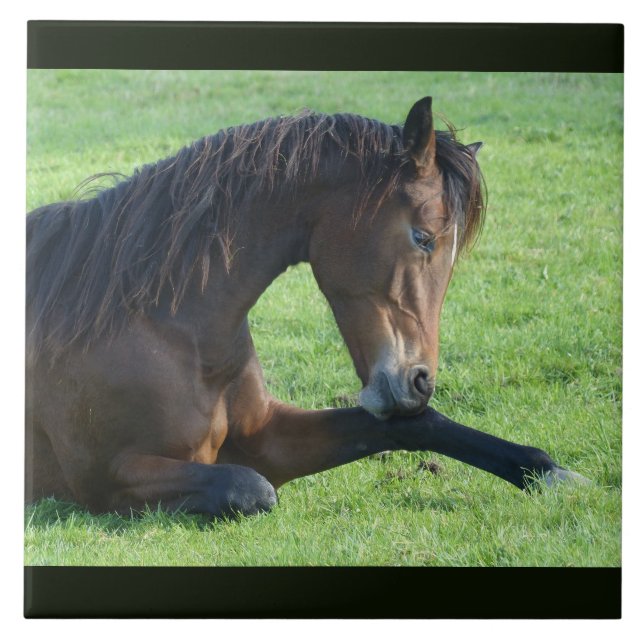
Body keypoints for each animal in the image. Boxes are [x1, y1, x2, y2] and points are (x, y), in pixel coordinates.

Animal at [26, 97, 586, 518]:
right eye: (423, 237)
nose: (420, 381)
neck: (162, 326)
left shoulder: (268, 435)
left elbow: (415, 425)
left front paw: (548, 471)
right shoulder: (107, 478)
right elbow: (250, 488)